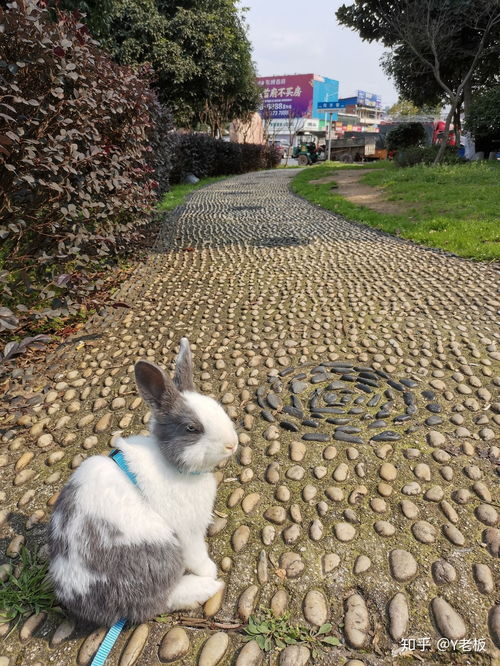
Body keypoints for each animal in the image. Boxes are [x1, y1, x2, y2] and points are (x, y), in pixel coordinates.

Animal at [47, 334, 239, 624]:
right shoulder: (187, 532)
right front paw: (209, 570)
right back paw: (205, 587)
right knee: (157, 602)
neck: (168, 460)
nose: (233, 444)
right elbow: (197, 554)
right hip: (158, 554)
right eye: (192, 428)